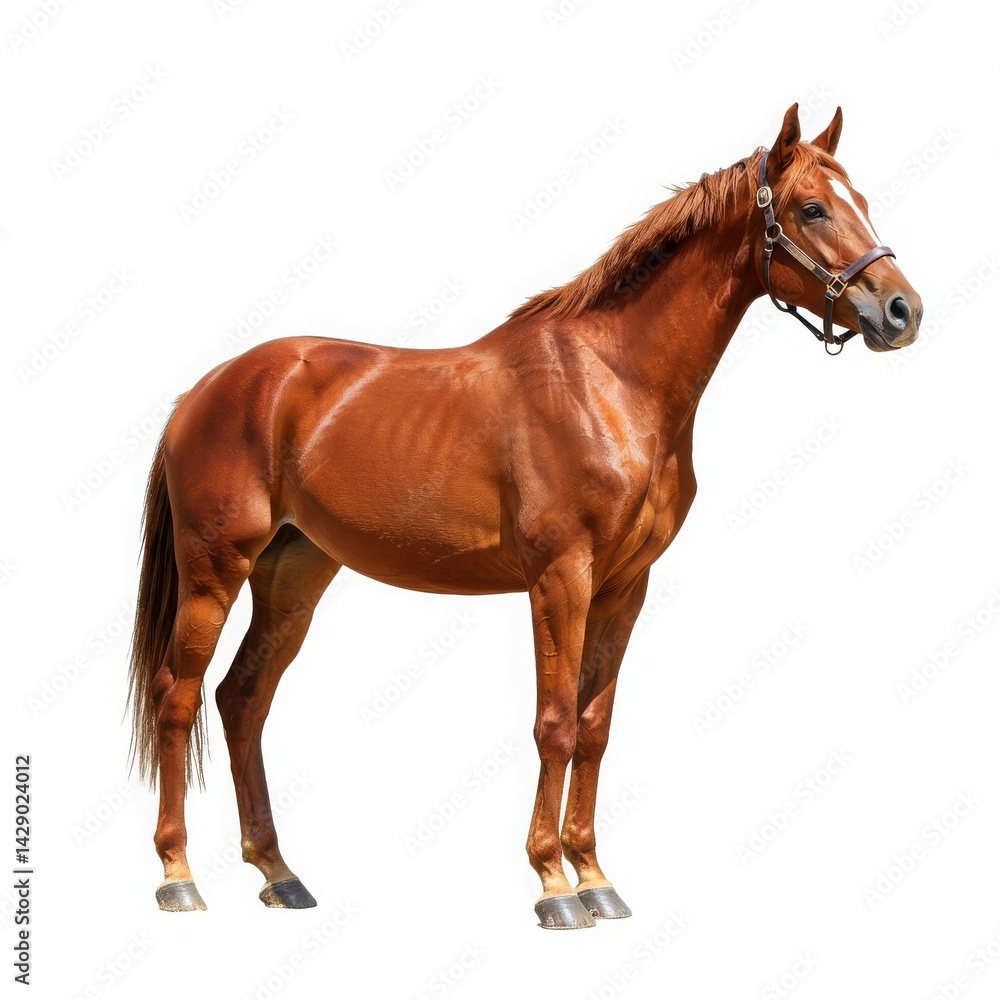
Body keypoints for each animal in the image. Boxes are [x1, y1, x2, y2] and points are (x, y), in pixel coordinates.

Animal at [127, 103, 921, 928]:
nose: (903, 310)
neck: (609, 383)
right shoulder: (560, 579)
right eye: (813, 208)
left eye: (862, 200)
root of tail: (205, 390)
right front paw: (553, 885)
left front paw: (596, 878)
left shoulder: (624, 587)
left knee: (242, 699)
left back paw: (279, 874)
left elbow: (595, 729)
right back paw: (178, 875)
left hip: (295, 574)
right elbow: (555, 723)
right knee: (178, 697)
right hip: (215, 570)